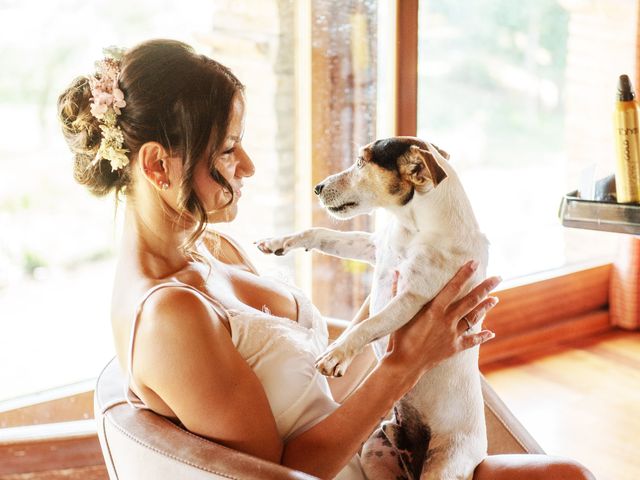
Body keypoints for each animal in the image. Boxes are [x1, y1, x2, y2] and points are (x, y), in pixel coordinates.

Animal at [255, 137, 490, 478]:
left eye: (361, 161)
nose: (317, 187)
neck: (414, 228)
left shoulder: (411, 298)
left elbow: (367, 326)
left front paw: (337, 354)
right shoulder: (373, 247)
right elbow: (322, 233)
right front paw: (280, 240)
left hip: (447, 462)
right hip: (375, 449)